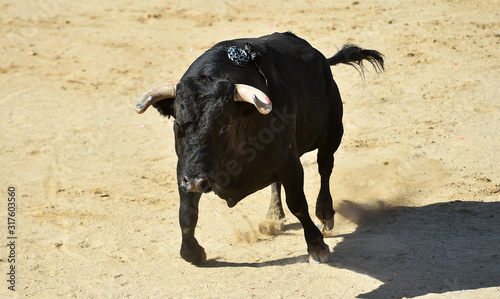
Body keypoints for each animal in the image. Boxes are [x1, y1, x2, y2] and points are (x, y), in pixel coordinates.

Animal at [134, 32, 382, 264]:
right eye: (178, 123)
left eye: (225, 126)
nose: (196, 182)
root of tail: (320, 58)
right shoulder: (184, 168)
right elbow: (186, 213)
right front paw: (192, 252)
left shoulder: (290, 163)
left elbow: (298, 203)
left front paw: (317, 247)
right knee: (278, 183)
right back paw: (273, 216)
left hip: (332, 130)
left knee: (325, 166)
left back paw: (325, 213)